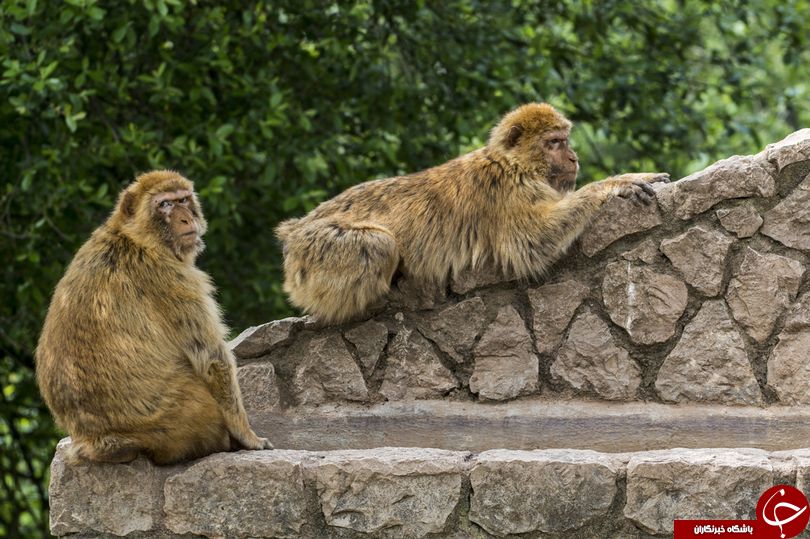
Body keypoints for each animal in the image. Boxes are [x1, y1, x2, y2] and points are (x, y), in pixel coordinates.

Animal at [36, 171, 270, 466]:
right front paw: (247, 435)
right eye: (165, 205)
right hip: (186, 419)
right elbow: (212, 360)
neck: (135, 237)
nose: (186, 218)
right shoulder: (171, 277)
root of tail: (100, 441)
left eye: (183, 199)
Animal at [274, 104, 664, 324]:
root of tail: (294, 231)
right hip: (316, 251)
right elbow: (532, 243)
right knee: (379, 245)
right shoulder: (507, 193)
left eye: (565, 140)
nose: (573, 157)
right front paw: (615, 184)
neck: (516, 163)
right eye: (555, 142)